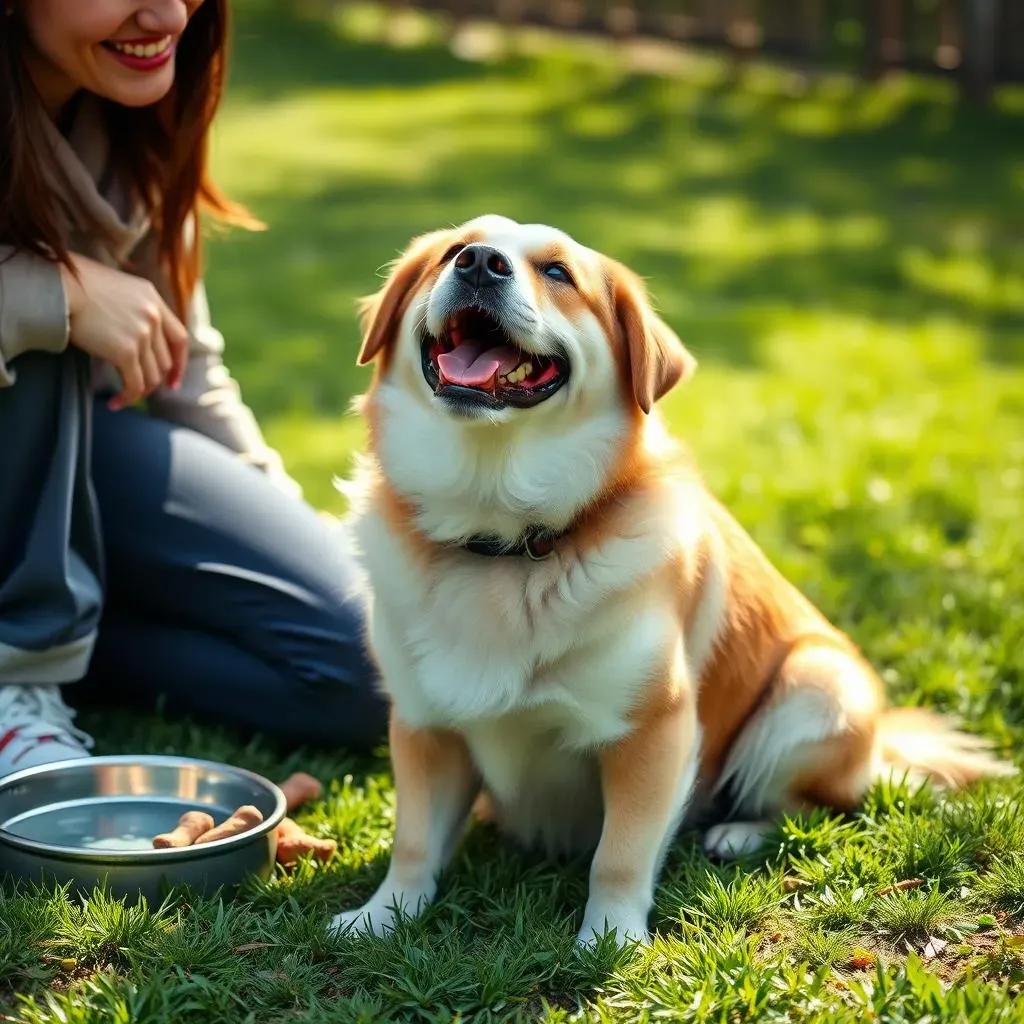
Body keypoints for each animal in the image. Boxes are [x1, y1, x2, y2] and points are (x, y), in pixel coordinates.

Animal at [329, 211, 1015, 946]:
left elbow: (621, 854)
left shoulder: (653, 730)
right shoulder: (424, 722)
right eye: (454, 251)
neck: (501, 541)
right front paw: (382, 916)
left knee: (816, 805)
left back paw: (738, 833)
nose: (481, 263)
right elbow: (414, 842)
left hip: (816, 688)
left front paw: (609, 940)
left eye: (557, 272)